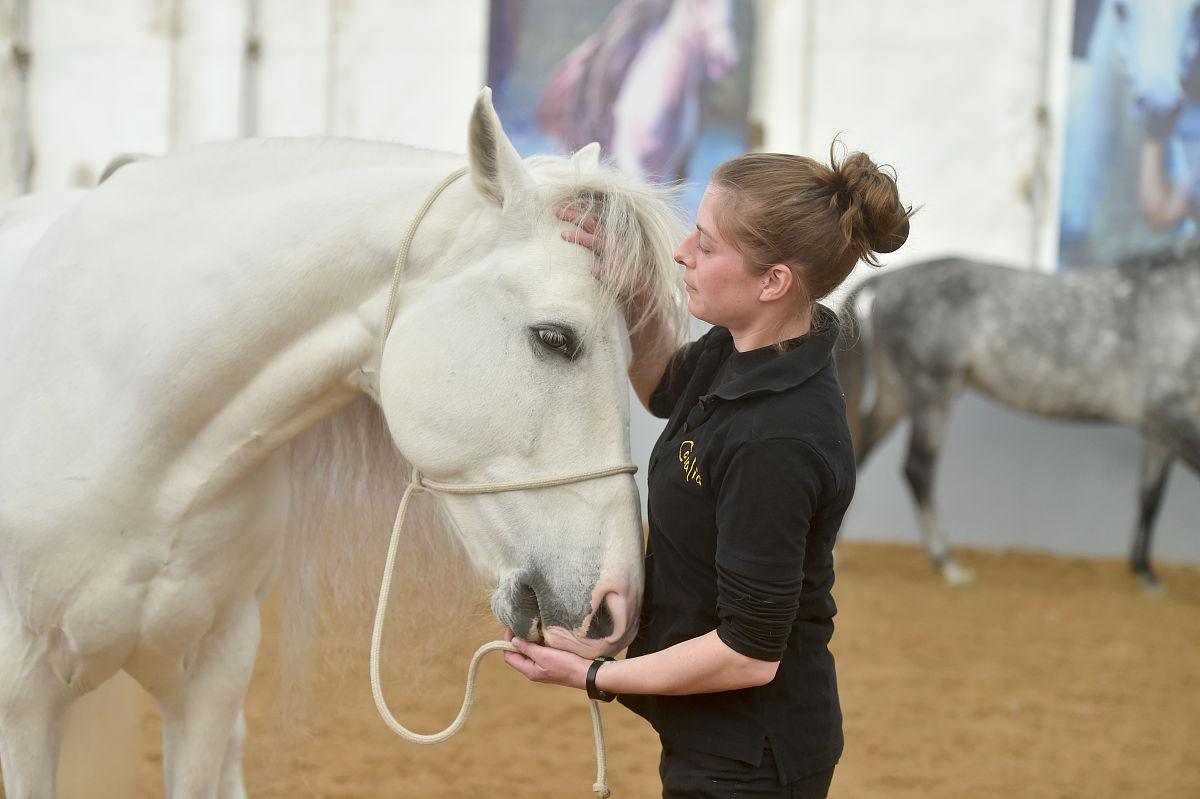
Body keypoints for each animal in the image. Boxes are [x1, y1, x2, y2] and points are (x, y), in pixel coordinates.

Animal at [837, 247, 1200, 589]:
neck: (1177, 298)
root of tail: (890, 280)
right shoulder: (1171, 419)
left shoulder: (1159, 431)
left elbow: (1150, 498)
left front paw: (1145, 572)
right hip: (932, 393)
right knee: (918, 470)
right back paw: (949, 564)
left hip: (897, 394)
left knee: (859, 453)